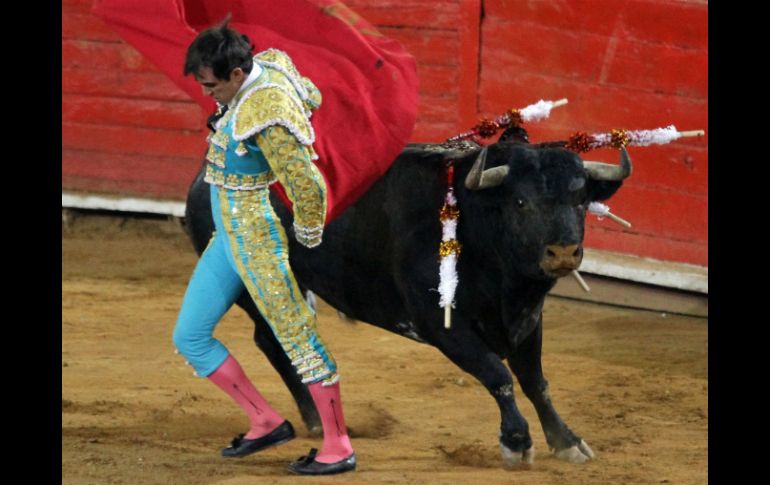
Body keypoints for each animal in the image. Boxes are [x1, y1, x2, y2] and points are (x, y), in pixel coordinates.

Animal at [182, 129, 632, 466]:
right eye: (520, 201)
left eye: (581, 199)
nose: (562, 252)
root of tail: (205, 174)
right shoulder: (441, 324)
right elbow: (498, 375)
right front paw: (517, 442)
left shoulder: (526, 320)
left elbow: (536, 382)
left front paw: (567, 441)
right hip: (254, 287)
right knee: (272, 341)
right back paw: (314, 420)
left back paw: (314, 419)